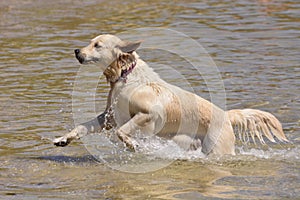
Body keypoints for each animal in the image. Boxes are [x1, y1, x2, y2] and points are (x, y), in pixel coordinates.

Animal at [53, 34, 288, 155]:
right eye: (90, 42)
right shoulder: (108, 117)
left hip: (218, 148)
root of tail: (227, 115)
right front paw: (63, 138)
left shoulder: (150, 114)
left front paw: (132, 144)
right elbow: (83, 127)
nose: (77, 51)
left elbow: (122, 131)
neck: (125, 76)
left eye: (97, 45)